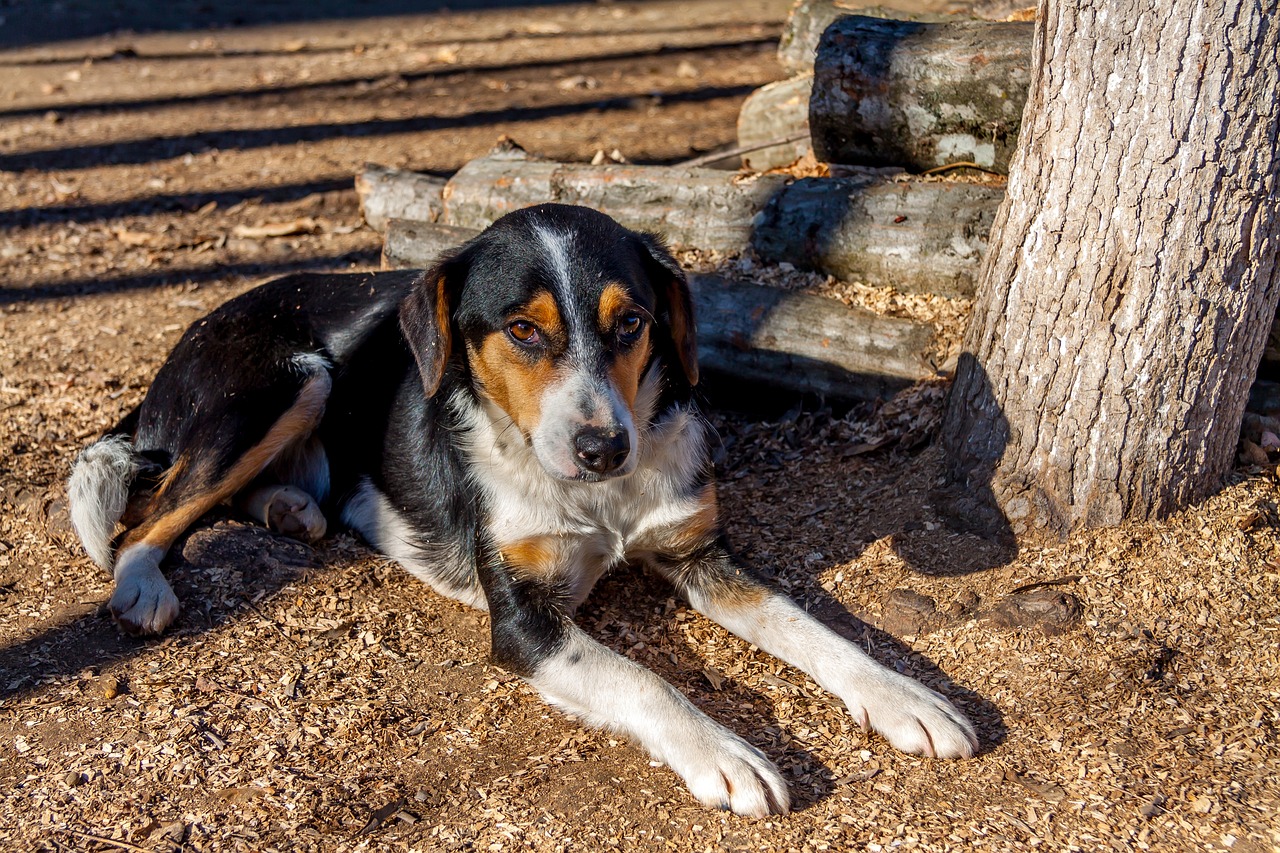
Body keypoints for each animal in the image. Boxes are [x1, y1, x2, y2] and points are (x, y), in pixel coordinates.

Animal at [67, 202, 967, 814]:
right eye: (523, 331)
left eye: (632, 322)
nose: (605, 447)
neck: (596, 497)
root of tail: (185, 343)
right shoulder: (526, 619)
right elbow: (643, 677)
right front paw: (725, 751)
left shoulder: (698, 552)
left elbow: (811, 626)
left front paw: (904, 697)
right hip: (288, 379)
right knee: (147, 514)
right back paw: (143, 584)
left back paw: (292, 506)